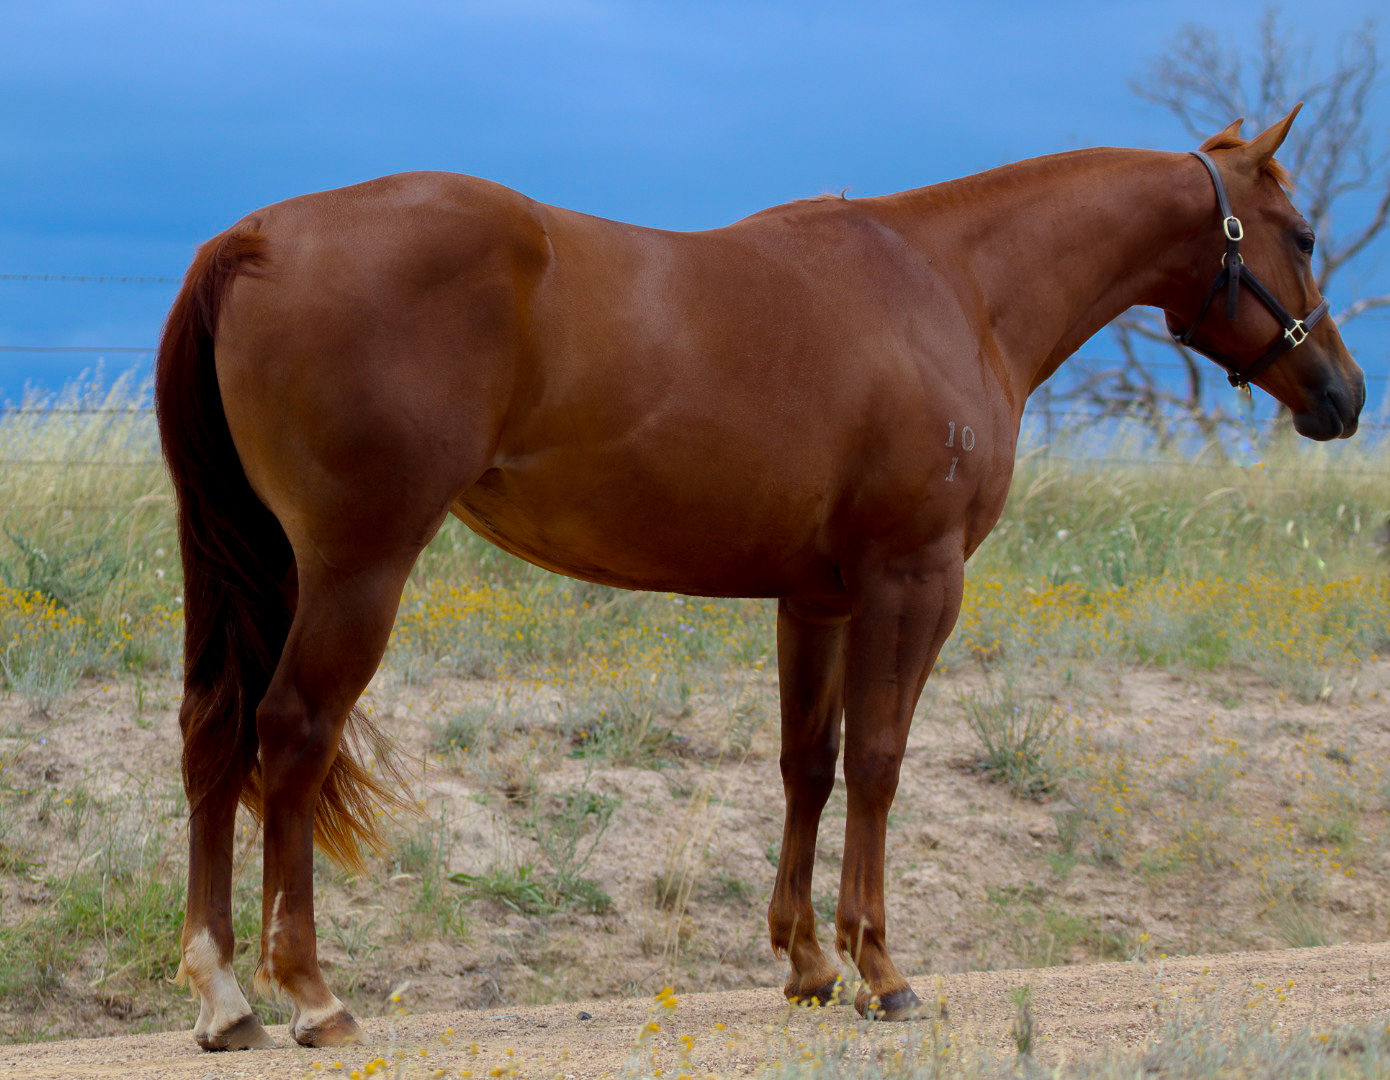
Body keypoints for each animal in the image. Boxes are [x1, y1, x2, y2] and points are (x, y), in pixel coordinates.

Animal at [156, 106, 1363, 1050]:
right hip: (357, 566)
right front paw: (880, 971)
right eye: (1303, 232)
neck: (952, 286)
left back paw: (224, 999)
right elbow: (878, 762)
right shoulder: (912, 583)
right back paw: (311, 996)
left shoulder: (815, 599)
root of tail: (252, 238)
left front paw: (807, 967)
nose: (1344, 395)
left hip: (258, 564)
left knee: (214, 733)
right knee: (292, 733)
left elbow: (806, 767)